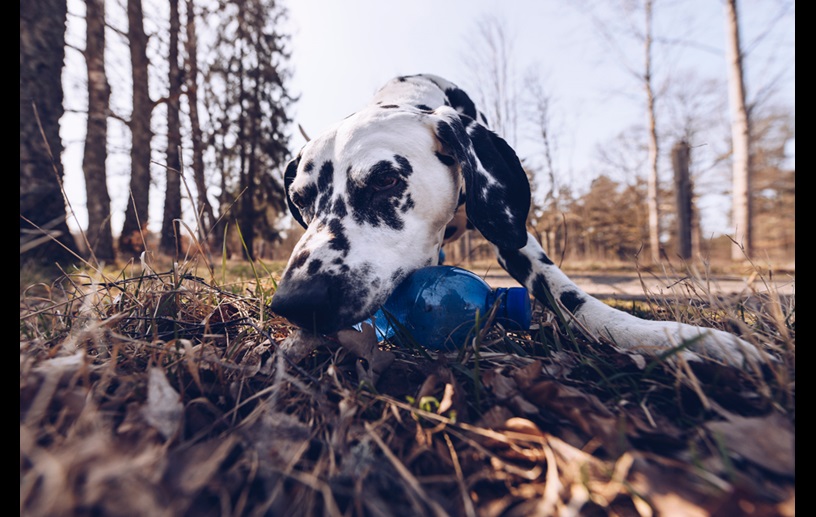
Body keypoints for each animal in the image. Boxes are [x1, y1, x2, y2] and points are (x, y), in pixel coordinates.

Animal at [270, 73, 760, 366]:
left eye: (386, 180)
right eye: (301, 199)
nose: (294, 302)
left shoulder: (514, 237)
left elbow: (575, 300)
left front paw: (675, 338)